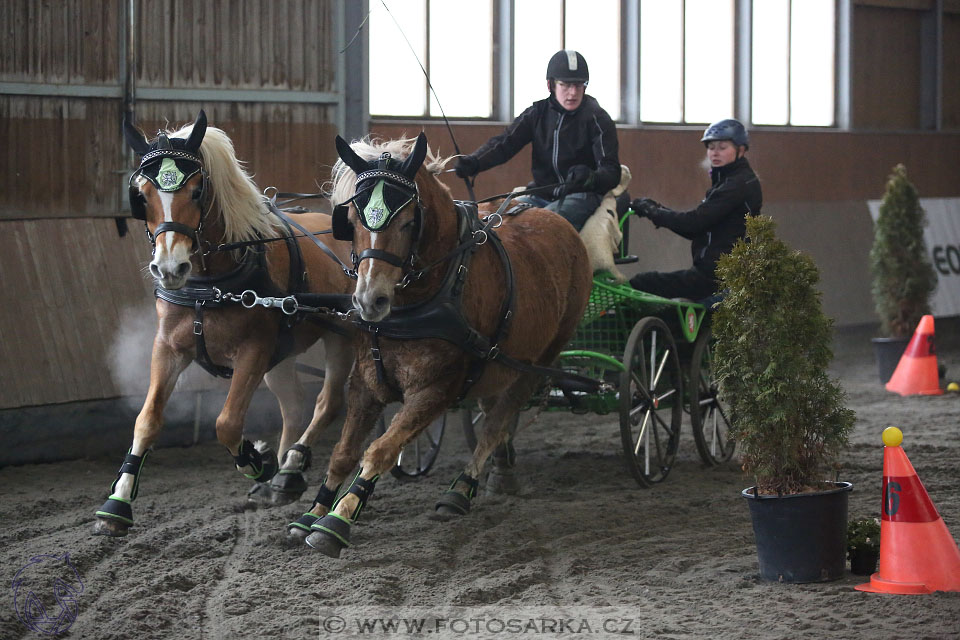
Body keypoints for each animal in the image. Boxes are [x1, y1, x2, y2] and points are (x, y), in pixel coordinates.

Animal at [94, 111, 356, 536]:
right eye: (142, 194)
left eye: (197, 190)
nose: (170, 269)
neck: (210, 284)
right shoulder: (168, 348)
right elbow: (147, 420)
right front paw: (116, 504)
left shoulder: (253, 352)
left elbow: (228, 424)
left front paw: (256, 459)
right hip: (282, 355)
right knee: (293, 403)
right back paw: (281, 479)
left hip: (343, 338)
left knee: (327, 402)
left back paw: (287, 468)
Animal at [292, 134, 592, 556]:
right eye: (350, 221)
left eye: (407, 222)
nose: (369, 301)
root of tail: (557, 221)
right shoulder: (366, 381)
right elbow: (343, 453)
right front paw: (312, 512)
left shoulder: (437, 388)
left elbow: (380, 450)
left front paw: (338, 519)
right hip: (499, 361)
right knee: (494, 413)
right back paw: (502, 469)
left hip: (539, 359)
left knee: (497, 422)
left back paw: (461, 490)